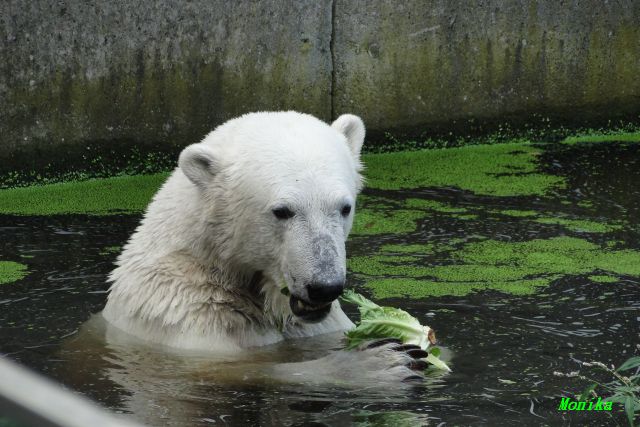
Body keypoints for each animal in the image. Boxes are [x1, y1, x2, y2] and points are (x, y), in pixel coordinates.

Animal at [102, 111, 422, 384]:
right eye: (282, 211)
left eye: (345, 207)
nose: (324, 287)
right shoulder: (189, 317)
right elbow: (238, 369)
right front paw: (382, 361)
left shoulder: (317, 325)